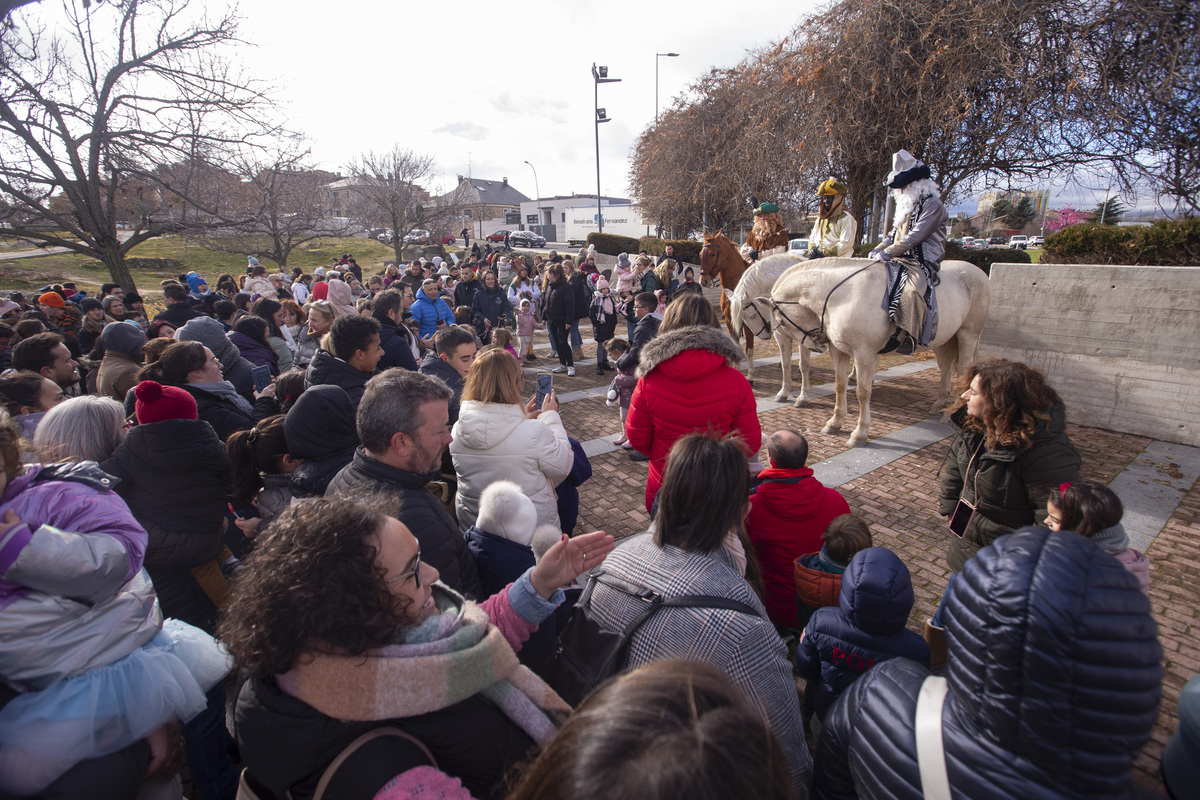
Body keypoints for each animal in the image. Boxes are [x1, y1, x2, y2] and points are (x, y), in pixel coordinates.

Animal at [700, 231, 753, 381]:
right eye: (700, 254)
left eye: (712, 254)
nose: (704, 281)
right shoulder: (730, 320)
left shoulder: (748, 323)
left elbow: (749, 348)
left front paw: (750, 376)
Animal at [748, 256, 993, 448]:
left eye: (780, 320)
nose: (817, 343)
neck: (843, 297)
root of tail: (979, 272)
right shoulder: (839, 351)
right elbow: (839, 386)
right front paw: (835, 422)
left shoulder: (864, 353)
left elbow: (862, 393)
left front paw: (860, 433)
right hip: (945, 339)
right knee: (945, 369)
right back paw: (940, 404)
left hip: (968, 335)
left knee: (964, 372)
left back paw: (952, 413)